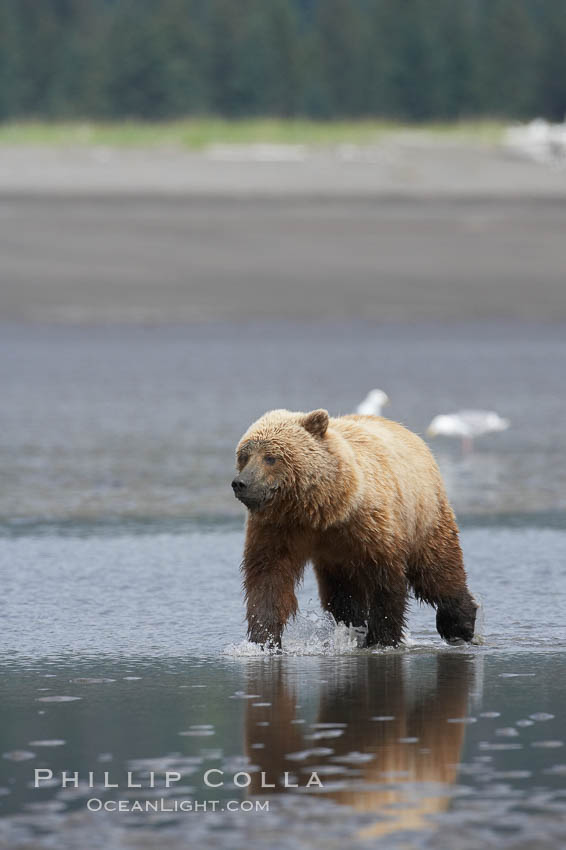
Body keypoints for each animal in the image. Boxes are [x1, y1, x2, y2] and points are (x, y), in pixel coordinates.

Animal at [233, 408, 478, 644]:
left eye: (270, 457)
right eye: (244, 456)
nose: (240, 483)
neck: (320, 510)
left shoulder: (370, 525)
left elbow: (384, 583)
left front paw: (381, 639)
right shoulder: (280, 528)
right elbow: (269, 577)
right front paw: (263, 639)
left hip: (423, 513)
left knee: (437, 569)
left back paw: (460, 624)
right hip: (339, 560)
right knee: (342, 595)